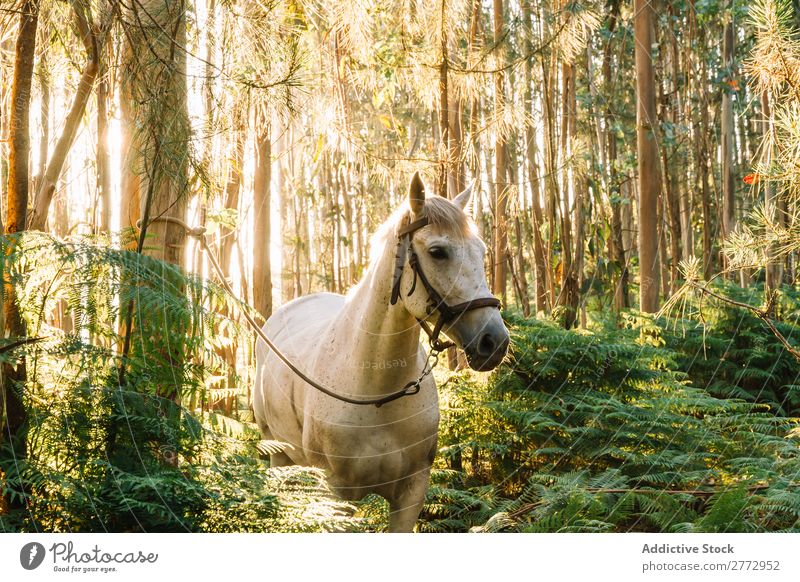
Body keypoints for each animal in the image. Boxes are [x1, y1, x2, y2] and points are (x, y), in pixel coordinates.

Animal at [253, 173, 510, 532]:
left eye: (481, 251)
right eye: (438, 252)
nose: (494, 341)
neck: (376, 388)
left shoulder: (412, 492)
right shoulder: (336, 498)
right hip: (277, 455)